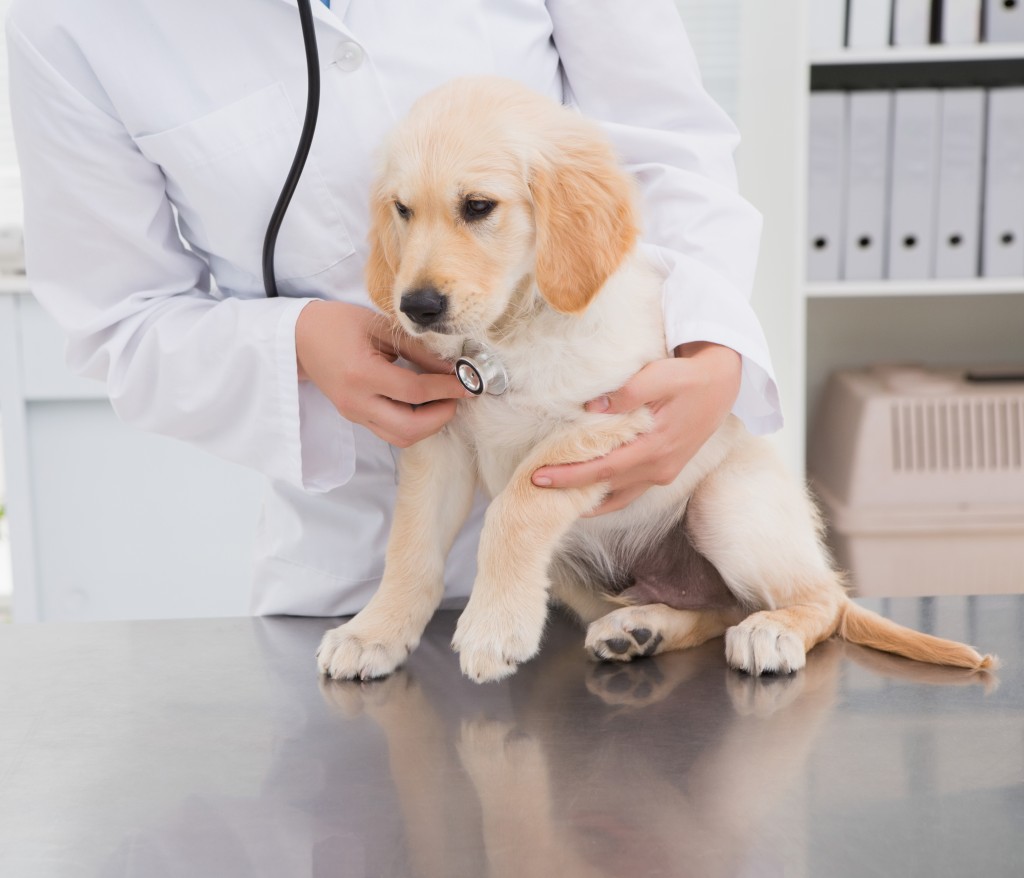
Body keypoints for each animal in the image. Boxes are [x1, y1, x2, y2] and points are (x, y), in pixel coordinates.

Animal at [315, 75, 995, 680]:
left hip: (725, 504)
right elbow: (410, 548)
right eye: (403, 210)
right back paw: (641, 629)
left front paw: (493, 627)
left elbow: (516, 508)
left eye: (478, 207)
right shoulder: (441, 442)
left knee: (818, 601)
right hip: (579, 573)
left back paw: (771, 630)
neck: (510, 338)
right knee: (718, 610)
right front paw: (375, 632)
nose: (417, 307)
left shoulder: (620, 416)